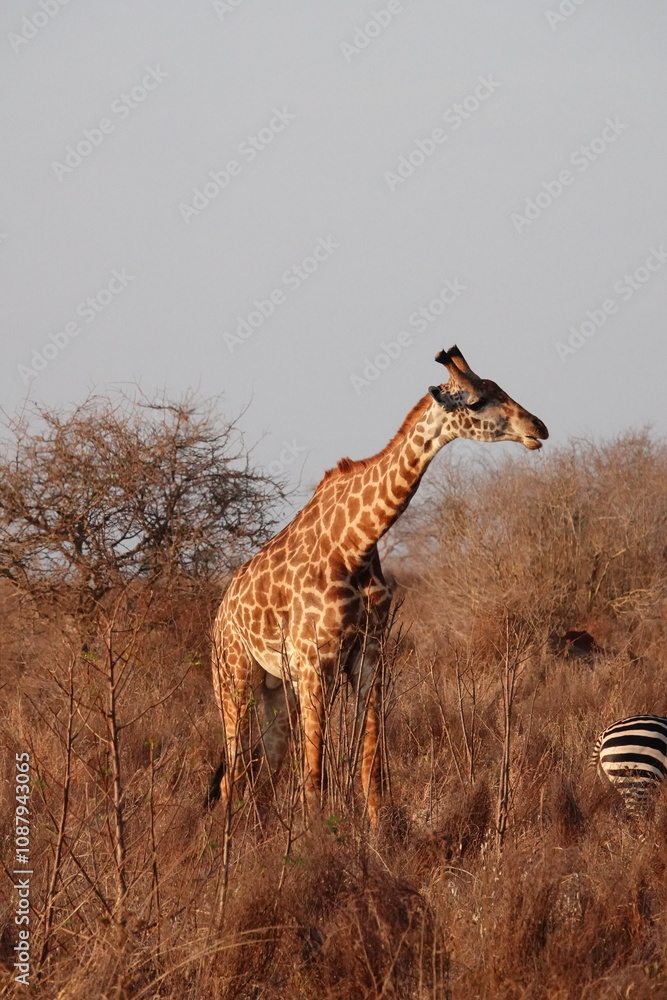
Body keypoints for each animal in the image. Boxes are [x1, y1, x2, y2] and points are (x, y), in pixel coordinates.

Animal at [210, 345, 548, 828]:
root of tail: (220, 614)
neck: (356, 542)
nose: (538, 428)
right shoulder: (314, 662)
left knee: (262, 771)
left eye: (500, 388)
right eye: (478, 400)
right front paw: (316, 841)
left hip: (274, 688)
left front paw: (376, 835)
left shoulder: (370, 655)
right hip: (234, 677)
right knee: (233, 773)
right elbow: (314, 775)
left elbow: (370, 767)